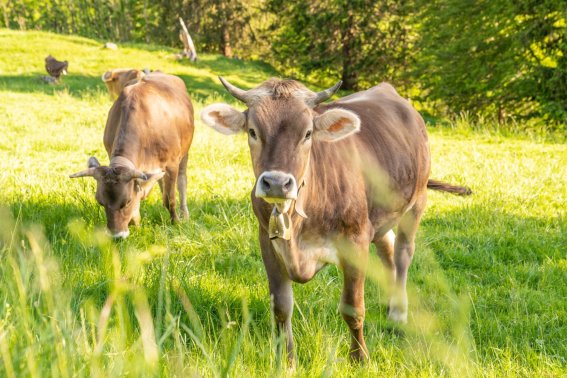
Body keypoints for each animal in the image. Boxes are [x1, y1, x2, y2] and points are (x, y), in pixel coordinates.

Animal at [70, 72, 195, 238]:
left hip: (185, 152)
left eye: (127, 201)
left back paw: (184, 214)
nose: (117, 236)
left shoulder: (171, 164)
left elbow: (170, 199)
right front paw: (135, 221)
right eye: (100, 202)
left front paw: (176, 223)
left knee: (182, 181)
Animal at [202, 77, 472, 364]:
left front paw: (360, 359)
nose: (276, 183)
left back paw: (399, 313)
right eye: (253, 131)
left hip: (417, 200)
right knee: (387, 248)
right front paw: (287, 362)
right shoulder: (268, 242)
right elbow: (282, 308)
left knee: (403, 252)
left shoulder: (355, 241)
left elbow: (353, 308)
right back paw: (389, 305)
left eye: (308, 133)